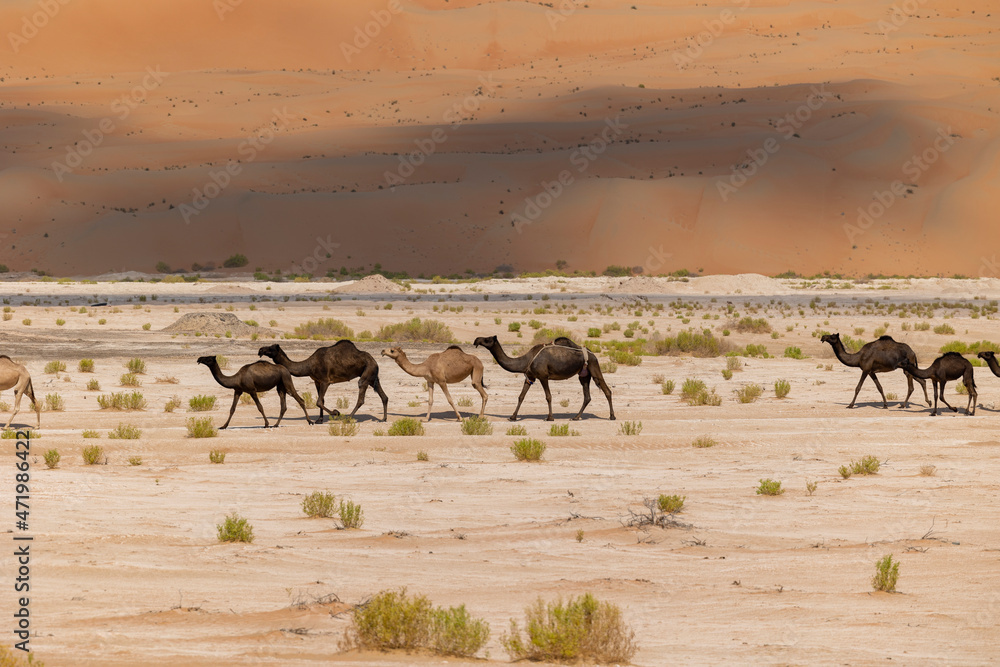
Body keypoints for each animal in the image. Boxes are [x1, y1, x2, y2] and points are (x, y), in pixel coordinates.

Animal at [258, 342, 389, 422]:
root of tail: (375, 361)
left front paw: (336, 413)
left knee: (361, 394)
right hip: (372, 376)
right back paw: (383, 419)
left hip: (367, 372)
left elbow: (319, 402)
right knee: (384, 396)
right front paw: (319, 420)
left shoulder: (326, 381)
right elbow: (321, 400)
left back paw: (348, 418)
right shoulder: (317, 381)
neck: (309, 365)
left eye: (271, 348)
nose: (260, 350)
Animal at [473, 335, 615, 421]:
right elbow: (521, 396)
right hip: (583, 374)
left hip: (594, 366)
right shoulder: (530, 377)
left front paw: (550, 417)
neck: (526, 360)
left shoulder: (543, 376)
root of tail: (593, 354)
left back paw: (612, 416)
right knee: (587, 396)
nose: (476, 340)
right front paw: (512, 417)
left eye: (487, 339)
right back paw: (576, 417)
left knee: (607, 390)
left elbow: (548, 396)